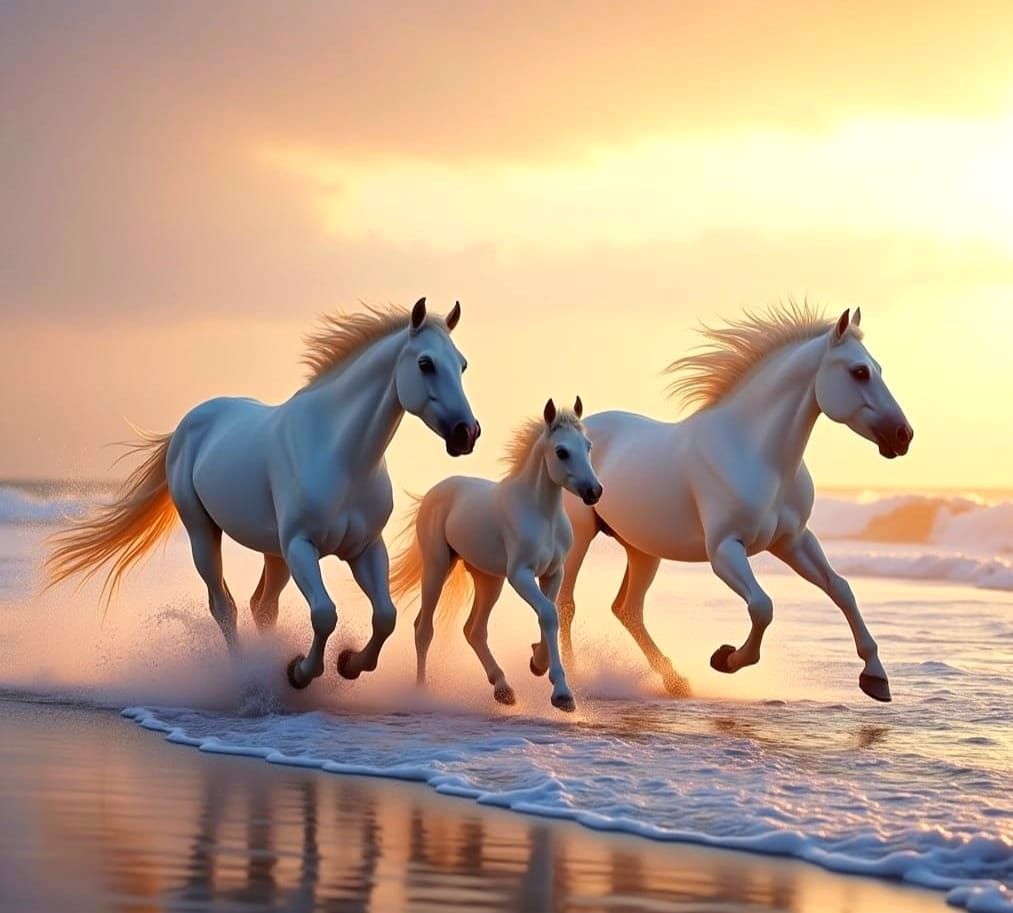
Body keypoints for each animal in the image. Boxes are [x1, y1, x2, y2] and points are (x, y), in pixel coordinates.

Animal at [45, 298, 481, 690]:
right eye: (425, 363)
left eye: (462, 365)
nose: (467, 433)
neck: (341, 456)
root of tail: (189, 424)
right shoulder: (301, 546)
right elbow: (324, 614)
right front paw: (299, 672)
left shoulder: (365, 549)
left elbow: (385, 616)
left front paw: (349, 664)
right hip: (205, 534)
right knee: (225, 607)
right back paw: (247, 677)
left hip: (276, 553)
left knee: (262, 608)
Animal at [389, 398, 602, 712]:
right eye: (561, 452)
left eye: (587, 446)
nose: (594, 491)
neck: (542, 515)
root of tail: (433, 492)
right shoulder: (520, 575)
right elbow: (548, 614)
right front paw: (562, 694)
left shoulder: (553, 573)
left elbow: (549, 614)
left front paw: (538, 663)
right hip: (438, 567)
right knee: (423, 628)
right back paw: (421, 693)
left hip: (489, 579)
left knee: (474, 630)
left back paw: (503, 688)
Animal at [554, 304, 912, 703]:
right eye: (859, 371)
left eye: (877, 368)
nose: (904, 435)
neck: (758, 456)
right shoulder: (725, 550)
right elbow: (762, 606)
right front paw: (725, 658)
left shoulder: (793, 541)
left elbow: (841, 590)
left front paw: (876, 678)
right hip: (580, 536)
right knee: (565, 604)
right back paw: (575, 679)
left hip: (643, 548)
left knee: (628, 610)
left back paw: (675, 681)